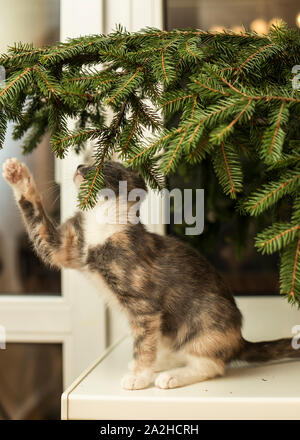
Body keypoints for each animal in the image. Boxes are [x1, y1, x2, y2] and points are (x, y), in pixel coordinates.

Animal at [2, 157, 300, 388]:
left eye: (100, 165)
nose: (78, 166)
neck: (102, 225)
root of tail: (239, 339)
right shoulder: (62, 248)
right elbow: (38, 221)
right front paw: (18, 175)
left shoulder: (144, 307)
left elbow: (142, 343)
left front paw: (139, 376)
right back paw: (164, 361)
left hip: (206, 318)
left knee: (213, 365)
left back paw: (172, 376)